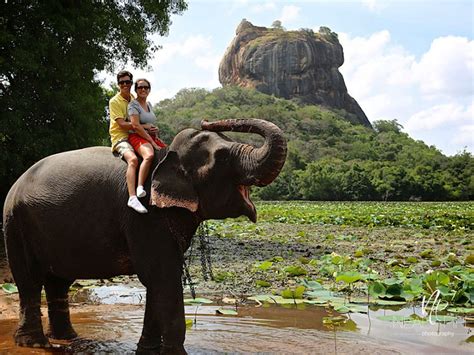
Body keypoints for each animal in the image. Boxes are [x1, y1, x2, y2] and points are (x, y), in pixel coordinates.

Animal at [2, 119, 286, 354]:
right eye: (223, 158)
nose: (207, 120)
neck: (164, 156)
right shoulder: (144, 217)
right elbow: (162, 277)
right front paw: (173, 354)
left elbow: (158, 281)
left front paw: (147, 351)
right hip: (15, 225)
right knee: (29, 280)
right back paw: (35, 344)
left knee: (58, 281)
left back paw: (68, 339)